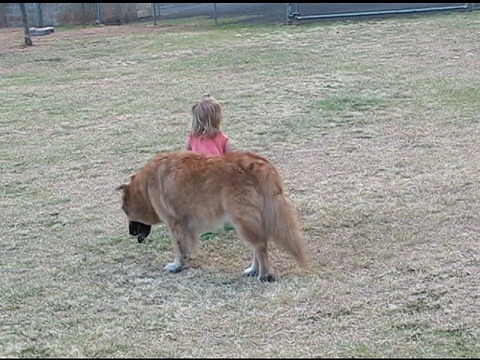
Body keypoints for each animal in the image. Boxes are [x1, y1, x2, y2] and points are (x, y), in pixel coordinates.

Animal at [117, 149, 308, 282]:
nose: (131, 233)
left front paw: (177, 265)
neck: (145, 189)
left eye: (126, 212)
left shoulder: (175, 223)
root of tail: (259, 164)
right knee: (259, 245)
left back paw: (264, 275)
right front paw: (186, 260)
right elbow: (186, 245)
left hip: (243, 221)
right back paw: (254, 270)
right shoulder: (186, 226)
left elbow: (179, 247)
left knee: (260, 246)